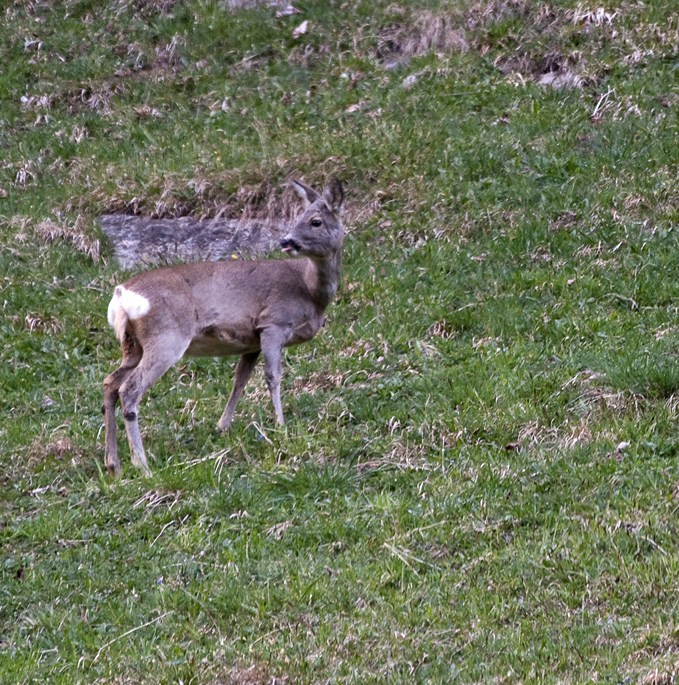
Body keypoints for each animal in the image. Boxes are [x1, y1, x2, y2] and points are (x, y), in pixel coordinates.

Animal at [102, 177, 344, 477]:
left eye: (314, 221)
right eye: (301, 217)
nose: (286, 240)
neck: (309, 289)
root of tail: (122, 295)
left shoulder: (250, 340)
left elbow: (239, 380)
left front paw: (221, 427)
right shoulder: (273, 323)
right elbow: (273, 377)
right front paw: (281, 427)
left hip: (132, 345)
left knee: (110, 384)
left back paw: (113, 464)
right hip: (166, 337)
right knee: (130, 389)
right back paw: (142, 465)